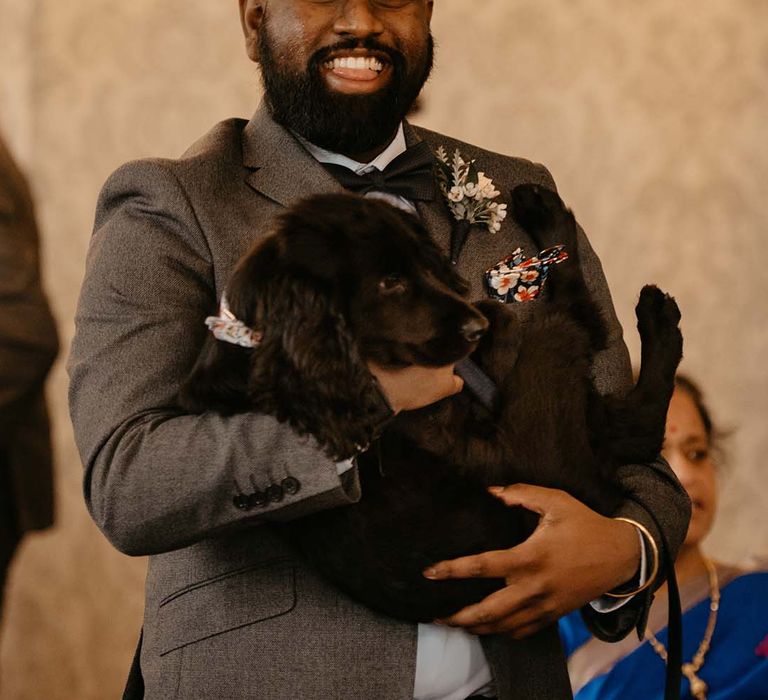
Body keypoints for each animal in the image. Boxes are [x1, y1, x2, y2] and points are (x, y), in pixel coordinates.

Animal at [182, 189, 684, 620]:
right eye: (390, 282)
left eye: (424, 267)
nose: (474, 328)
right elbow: (517, 325)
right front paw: (497, 322)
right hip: (550, 390)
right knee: (610, 378)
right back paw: (652, 316)